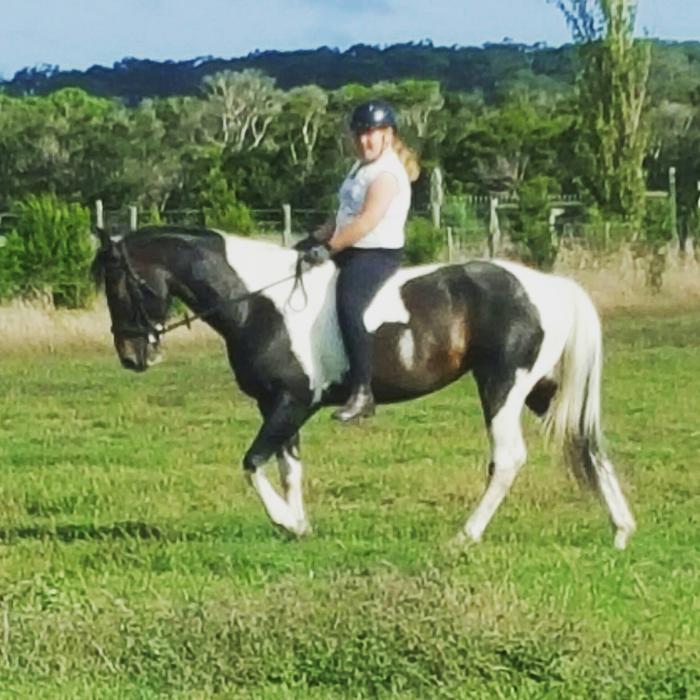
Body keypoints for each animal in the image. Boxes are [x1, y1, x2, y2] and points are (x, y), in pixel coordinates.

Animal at [92, 225, 636, 549]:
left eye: (120, 285)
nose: (132, 357)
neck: (260, 303)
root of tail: (550, 287)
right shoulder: (279, 405)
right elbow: (289, 468)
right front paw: (301, 525)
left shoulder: (291, 401)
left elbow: (252, 463)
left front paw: (285, 522)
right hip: (540, 389)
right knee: (587, 442)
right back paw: (620, 529)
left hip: (502, 384)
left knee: (508, 458)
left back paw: (465, 535)